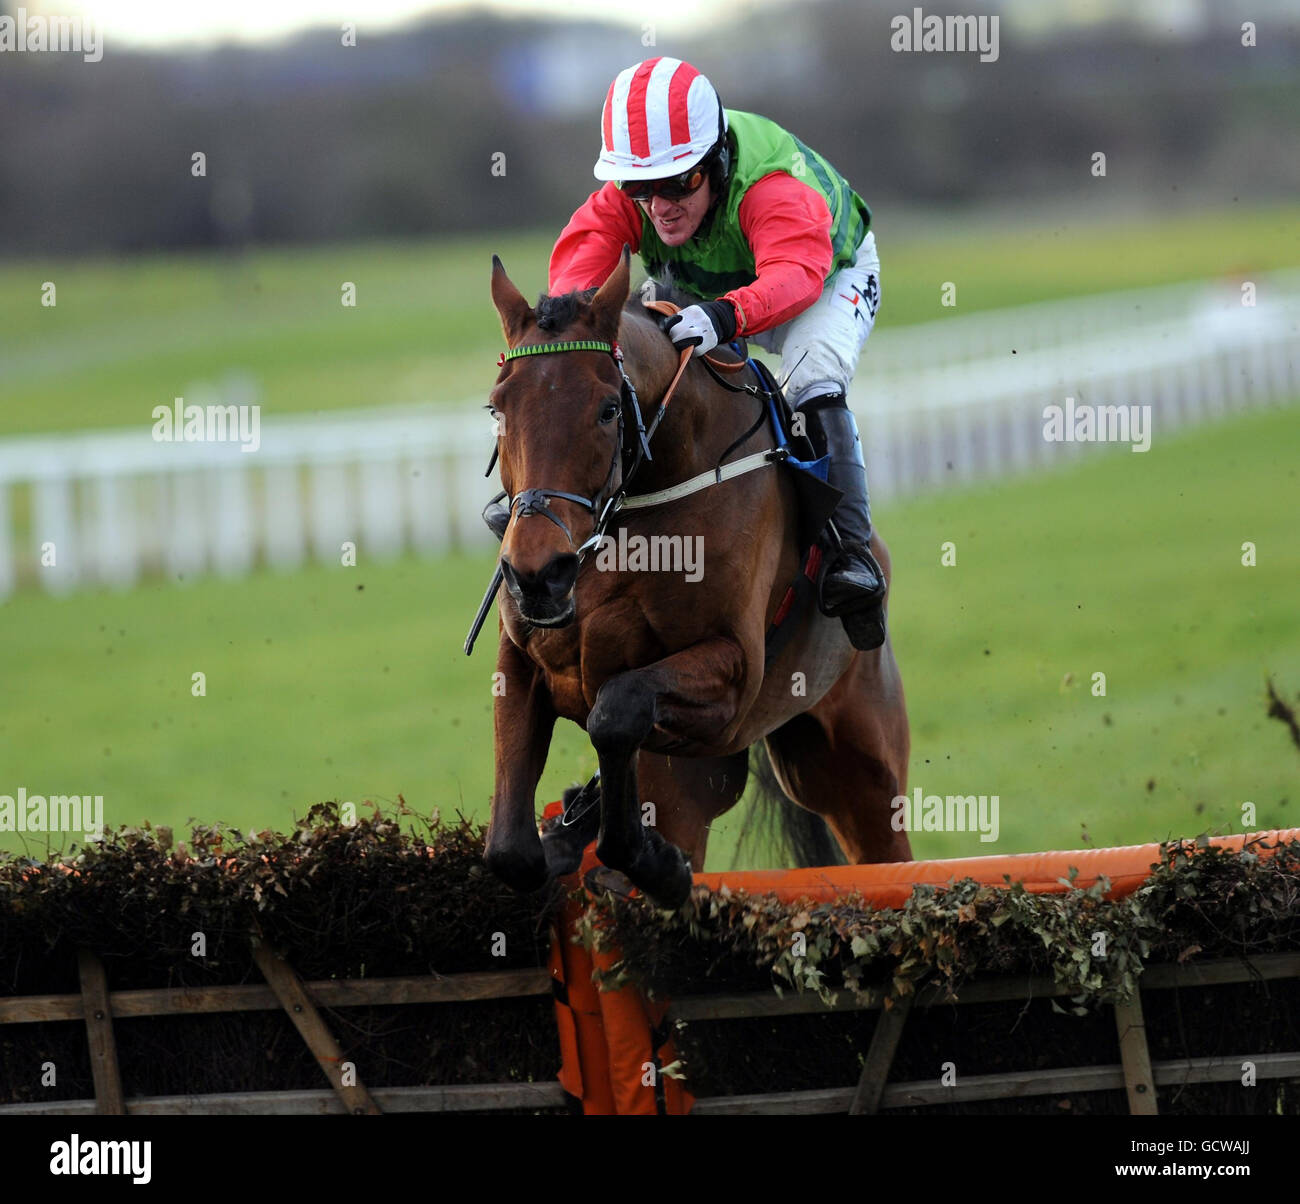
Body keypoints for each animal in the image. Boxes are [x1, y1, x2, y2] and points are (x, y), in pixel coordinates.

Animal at [480, 257, 915, 915]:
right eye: (497, 409)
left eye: (608, 410)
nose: (538, 572)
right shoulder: (523, 661)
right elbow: (511, 850)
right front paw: (567, 840)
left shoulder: (733, 675)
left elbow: (617, 710)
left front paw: (655, 866)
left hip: (856, 768)